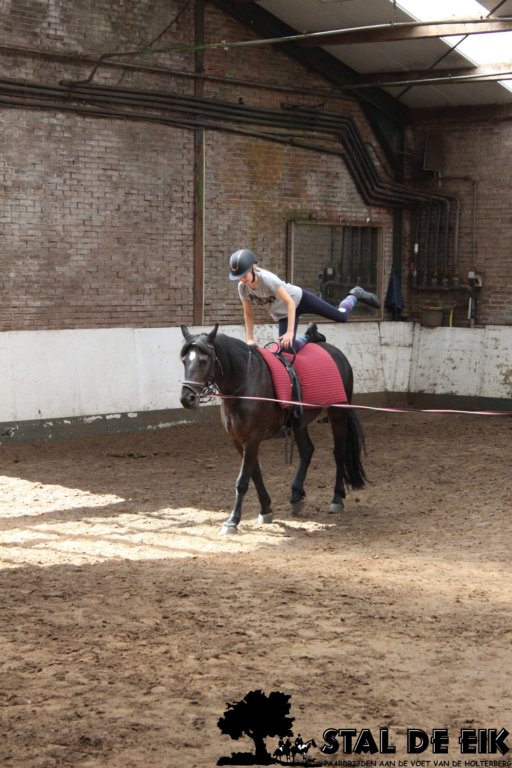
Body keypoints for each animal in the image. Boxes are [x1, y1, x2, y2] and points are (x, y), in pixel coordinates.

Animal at [179, 324, 366, 534]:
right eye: (184, 360)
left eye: (204, 361)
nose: (187, 399)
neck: (245, 383)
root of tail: (337, 353)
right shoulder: (239, 440)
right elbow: (255, 474)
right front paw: (266, 509)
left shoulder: (252, 439)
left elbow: (242, 481)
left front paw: (232, 520)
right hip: (299, 423)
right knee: (307, 450)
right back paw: (296, 496)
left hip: (337, 414)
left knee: (339, 452)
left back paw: (336, 498)